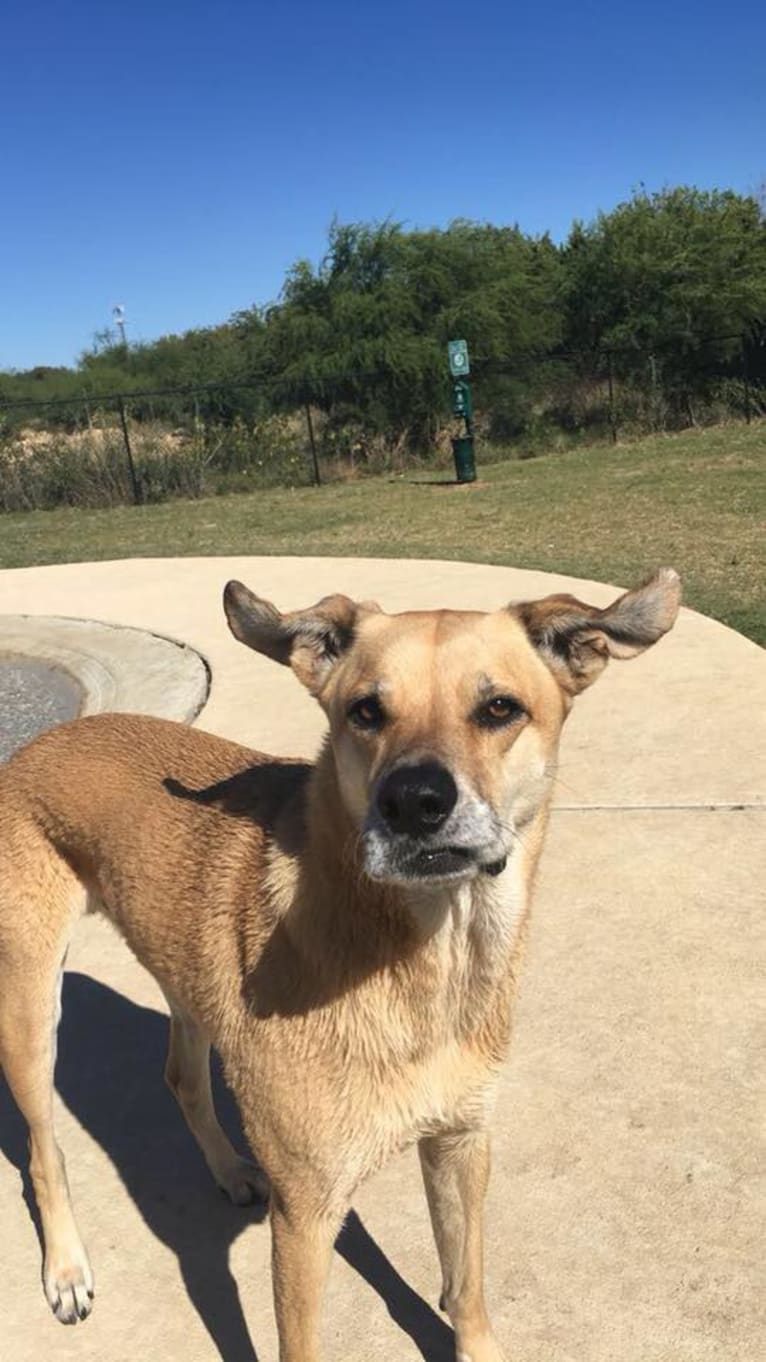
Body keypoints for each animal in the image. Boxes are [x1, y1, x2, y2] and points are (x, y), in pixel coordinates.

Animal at [0, 566, 678, 1362]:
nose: (414, 801)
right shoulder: (307, 1217)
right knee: (44, 1150)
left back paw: (228, 1170)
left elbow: (467, 1288)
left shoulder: (460, 1143)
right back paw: (67, 1269)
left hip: (185, 980)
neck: (429, 960)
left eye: (500, 708)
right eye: (365, 711)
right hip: (30, 1013)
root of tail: (42, 740)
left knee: (181, 1078)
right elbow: (303, 1344)